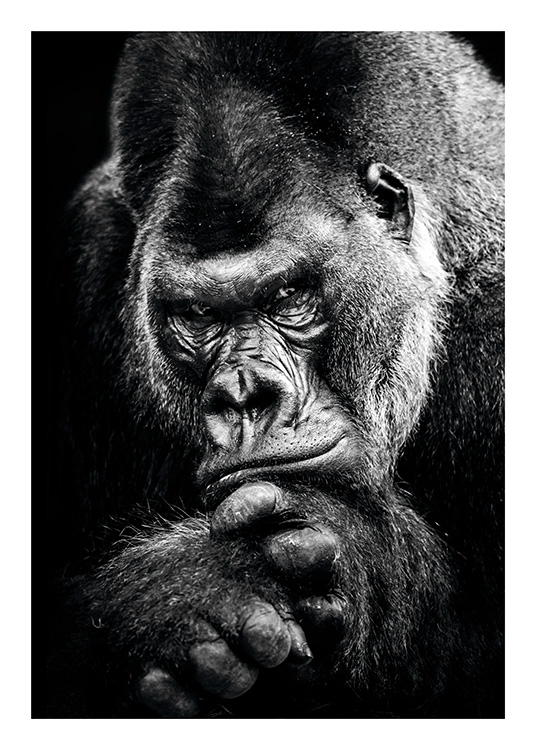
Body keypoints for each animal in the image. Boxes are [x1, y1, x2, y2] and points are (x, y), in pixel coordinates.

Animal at [43, 31, 504, 718]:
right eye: (198, 315)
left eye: (288, 296)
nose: (245, 394)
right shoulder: (88, 258)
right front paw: (179, 597)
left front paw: (358, 556)